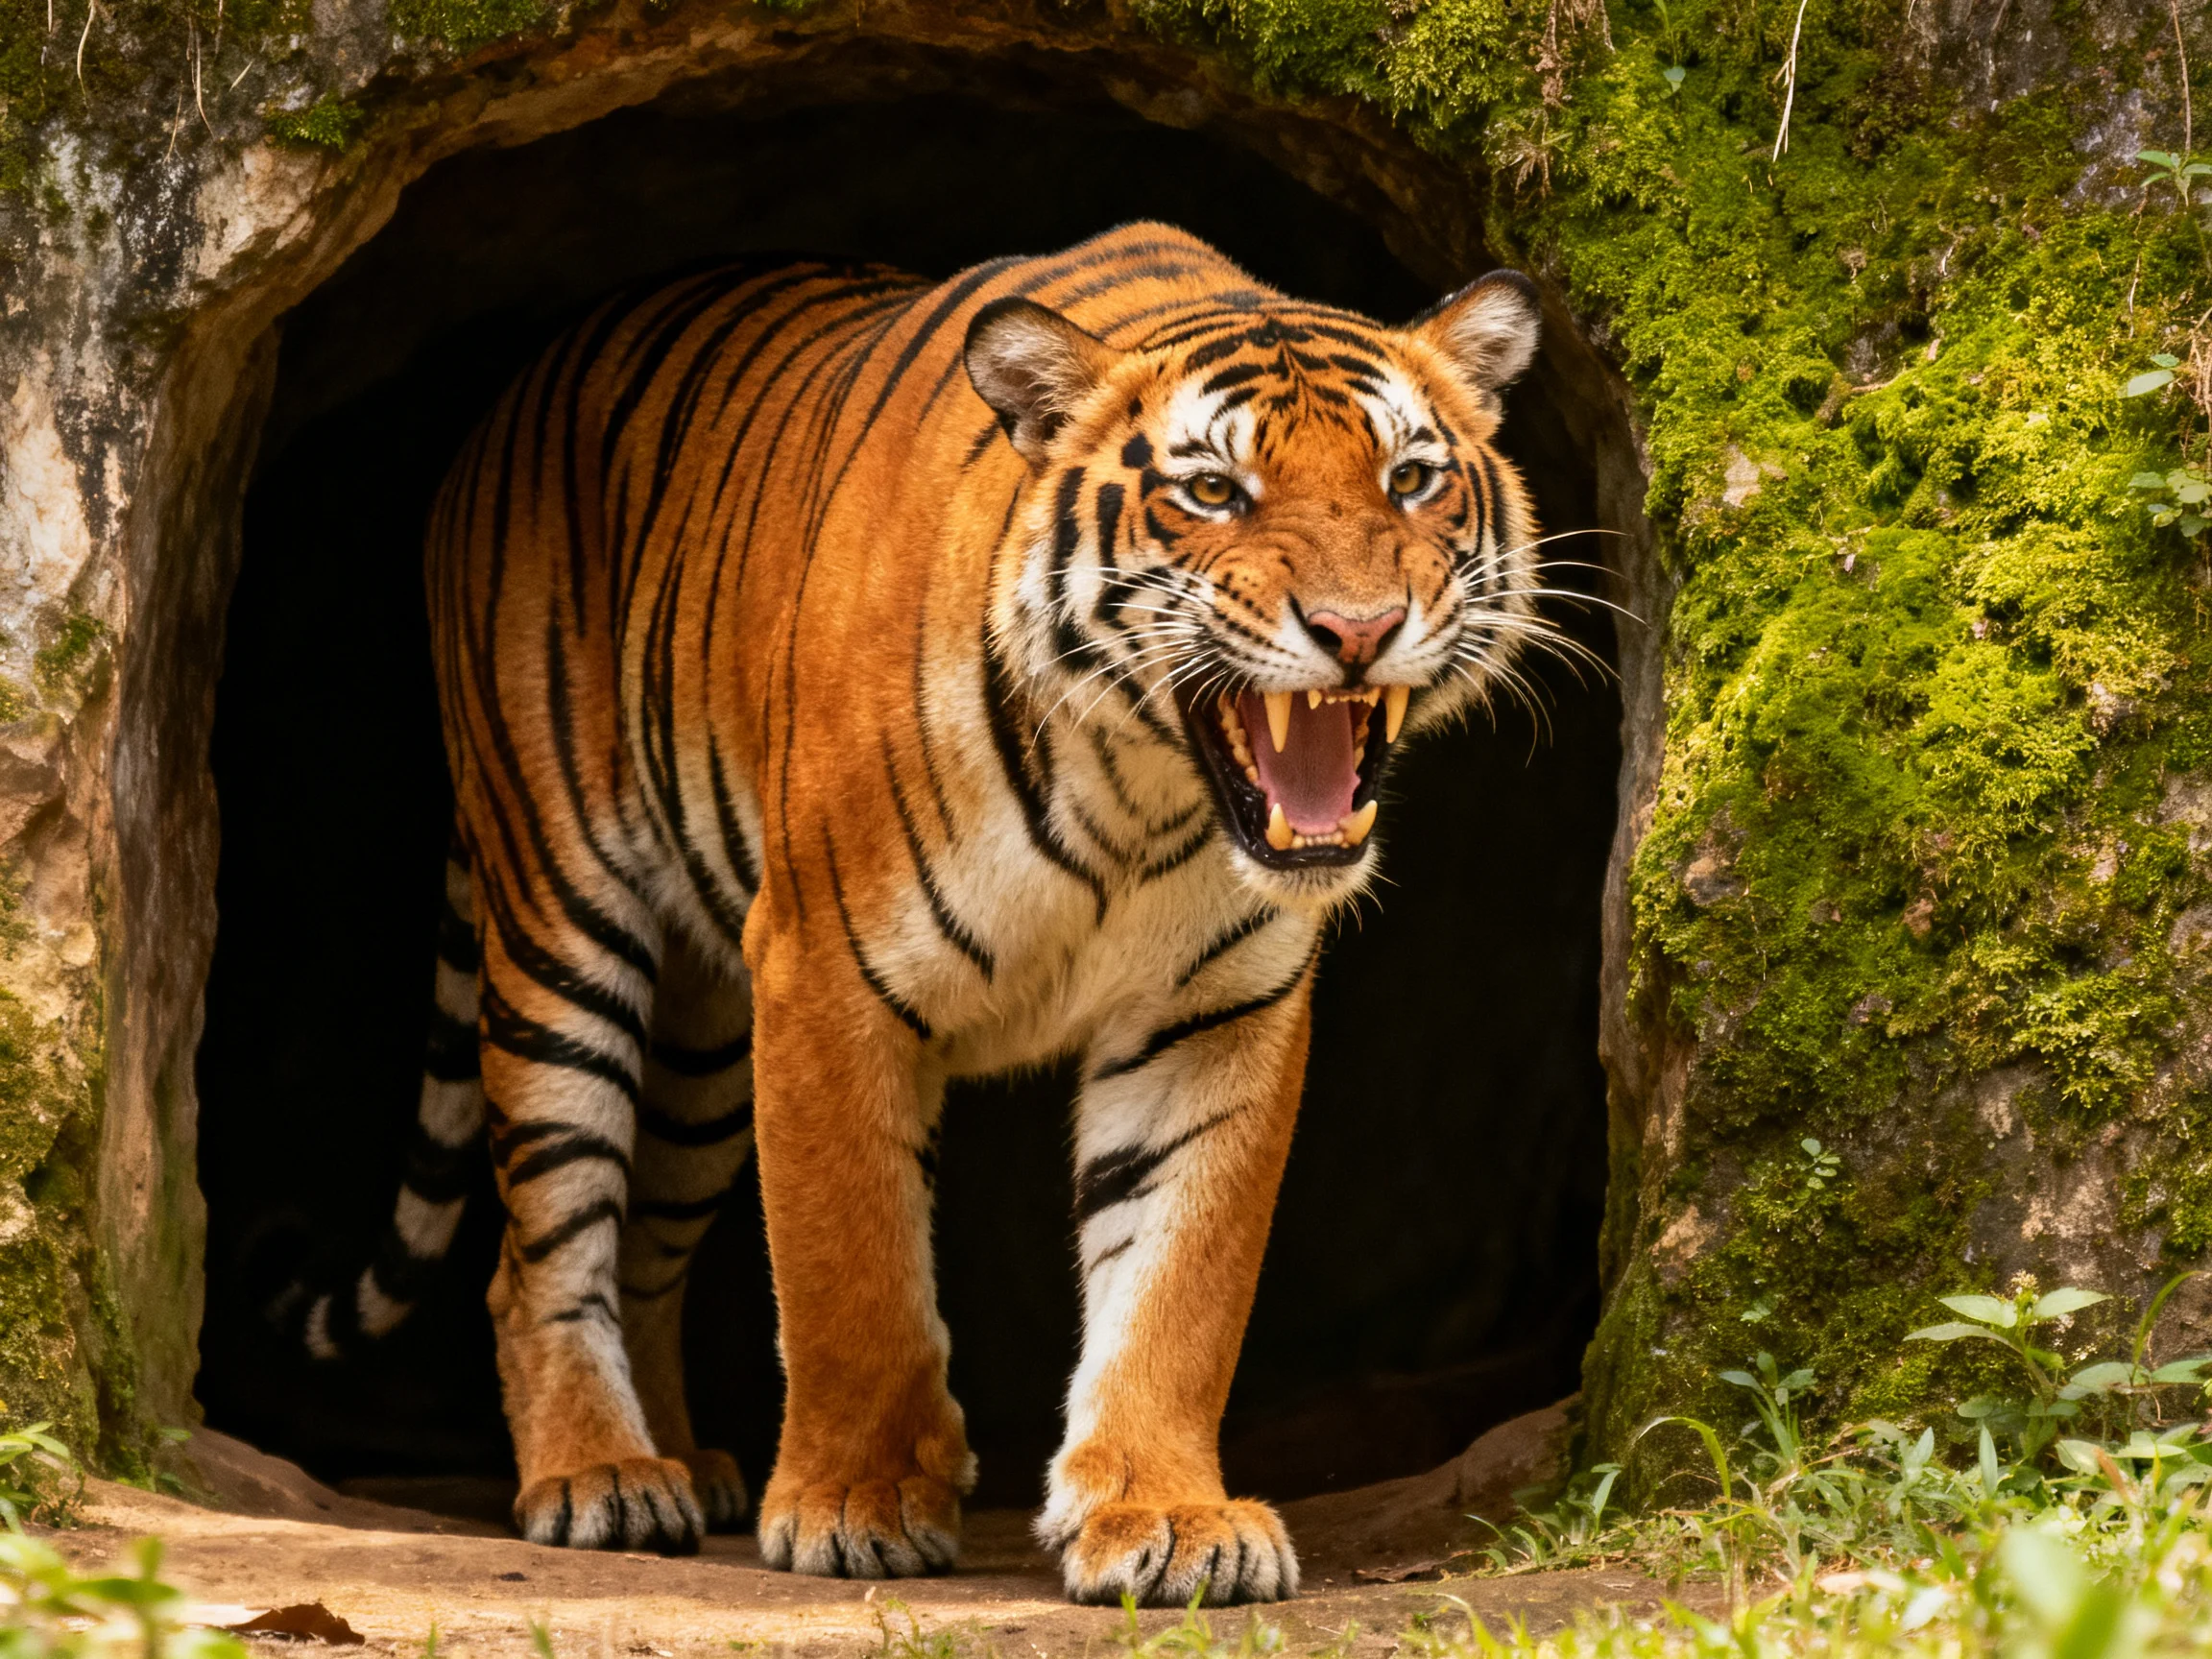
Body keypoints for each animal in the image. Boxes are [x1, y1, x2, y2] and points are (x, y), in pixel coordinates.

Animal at [304, 221, 1548, 1606]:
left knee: (642, 1249)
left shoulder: (1213, 1017)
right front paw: (855, 1506)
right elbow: (853, 1274)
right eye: (1216, 493)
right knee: (543, 1248)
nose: (1358, 629)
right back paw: (599, 1477)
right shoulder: (824, 978)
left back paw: (684, 1462)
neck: (1141, 794)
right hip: (562, 925)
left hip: (701, 1051)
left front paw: (1165, 1516)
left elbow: (1178, 1283)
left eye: (1412, 479)